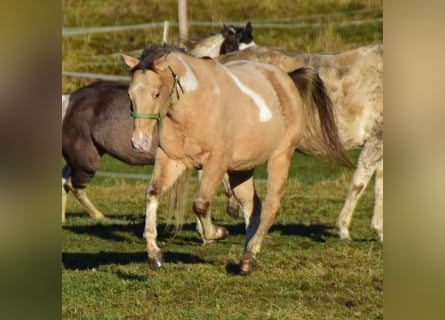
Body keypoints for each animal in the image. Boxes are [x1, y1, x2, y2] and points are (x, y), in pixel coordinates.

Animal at [62, 23, 253, 222]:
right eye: (234, 45)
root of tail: (69, 99)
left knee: (65, 180)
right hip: (86, 161)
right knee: (73, 184)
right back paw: (99, 216)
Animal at [122, 43, 350, 274]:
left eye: (156, 93)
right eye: (130, 96)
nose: (139, 142)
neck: (193, 105)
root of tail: (286, 79)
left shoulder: (216, 162)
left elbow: (200, 204)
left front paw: (217, 233)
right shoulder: (172, 160)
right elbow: (153, 193)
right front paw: (155, 254)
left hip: (280, 157)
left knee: (270, 207)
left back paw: (249, 256)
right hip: (241, 169)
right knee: (252, 207)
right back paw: (248, 255)